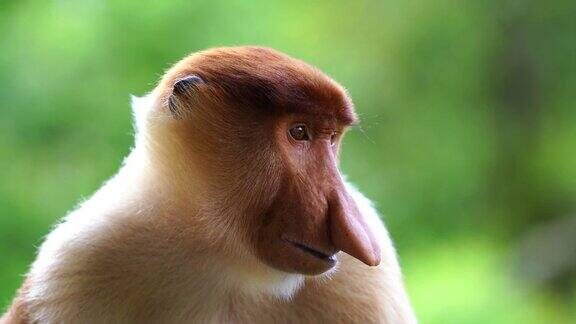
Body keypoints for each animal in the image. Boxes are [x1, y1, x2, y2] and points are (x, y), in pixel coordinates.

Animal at [0, 46, 414, 322]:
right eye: (299, 133)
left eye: (332, 139)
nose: (355, 231)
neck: (218, 257)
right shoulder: (78, 264)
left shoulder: (364, 283)